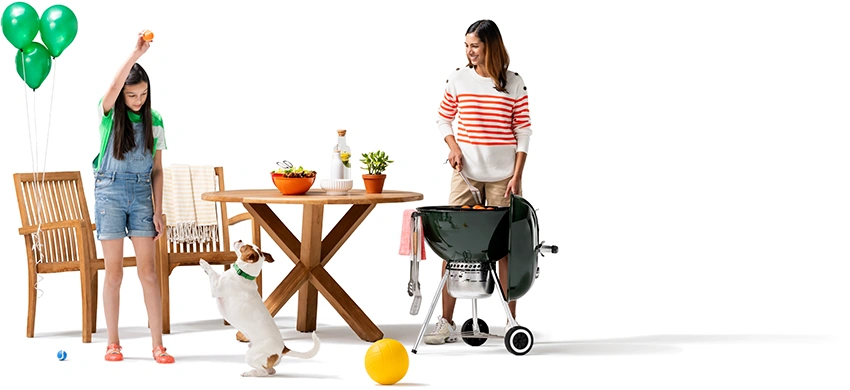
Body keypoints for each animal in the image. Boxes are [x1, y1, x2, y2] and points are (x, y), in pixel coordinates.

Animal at [200, 239, 322, 376]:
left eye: (244, 247)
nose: (240, 239)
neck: (243, 275)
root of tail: (283, 348)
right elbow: (216, 273)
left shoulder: (216, 288)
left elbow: (212, 273)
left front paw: (204, 262)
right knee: (271, 370)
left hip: (251, 356)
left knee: (263, 372)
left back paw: (249, 373)